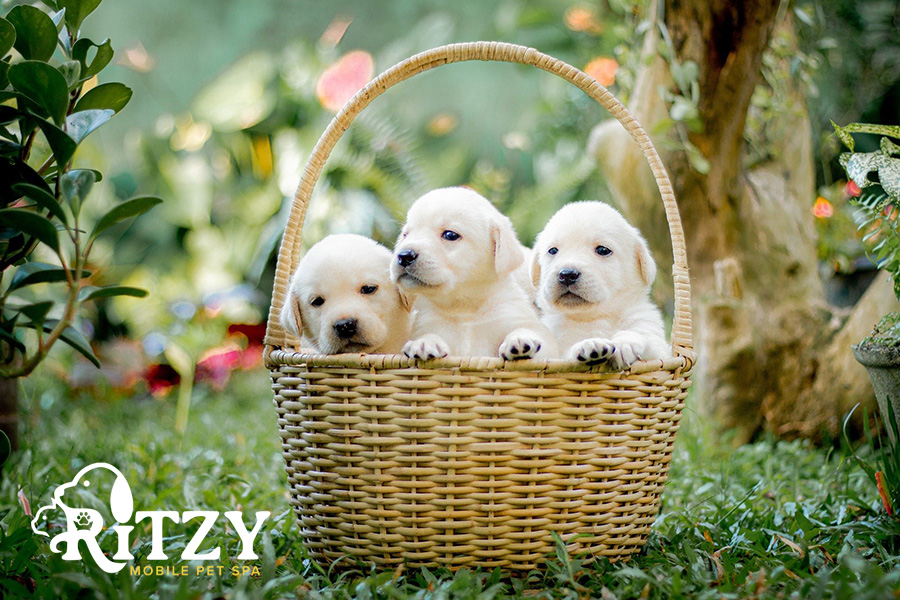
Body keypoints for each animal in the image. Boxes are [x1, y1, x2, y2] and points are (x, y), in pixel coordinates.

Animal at [392, 186, 556, 360]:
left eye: (450, 235)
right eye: (406, 235)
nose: (404, 255)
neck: (465, 307)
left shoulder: (516, 317)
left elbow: (531, 333)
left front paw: (520, 338)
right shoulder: (427, 324)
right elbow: (427, 334)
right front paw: (424, 343)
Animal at [536, 204, 668, 368]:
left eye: (603, 250)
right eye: (553, 250)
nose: (567, 274)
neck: (593, 317)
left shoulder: (654, 338)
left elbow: (645, 339)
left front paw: (624, 344)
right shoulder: (554, 351)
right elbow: (565, 355)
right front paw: (589, 344)